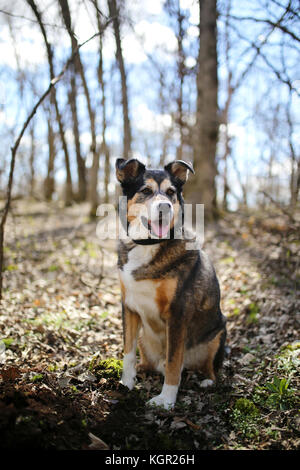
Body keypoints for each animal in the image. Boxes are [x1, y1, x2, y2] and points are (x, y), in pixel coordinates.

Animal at [116, 158, 226, 408]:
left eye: (170, 193)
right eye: (146, 191)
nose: (164, 207)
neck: (148, 245)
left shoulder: (178, 312)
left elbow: (175, 361)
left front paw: (166, 400)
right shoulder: (129, 307)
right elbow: (128, 352)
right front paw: (126, 383)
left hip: (219, 332)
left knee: (208, 368)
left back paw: (206, 381)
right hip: (145, 339)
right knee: (148, 362)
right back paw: (142, 369)